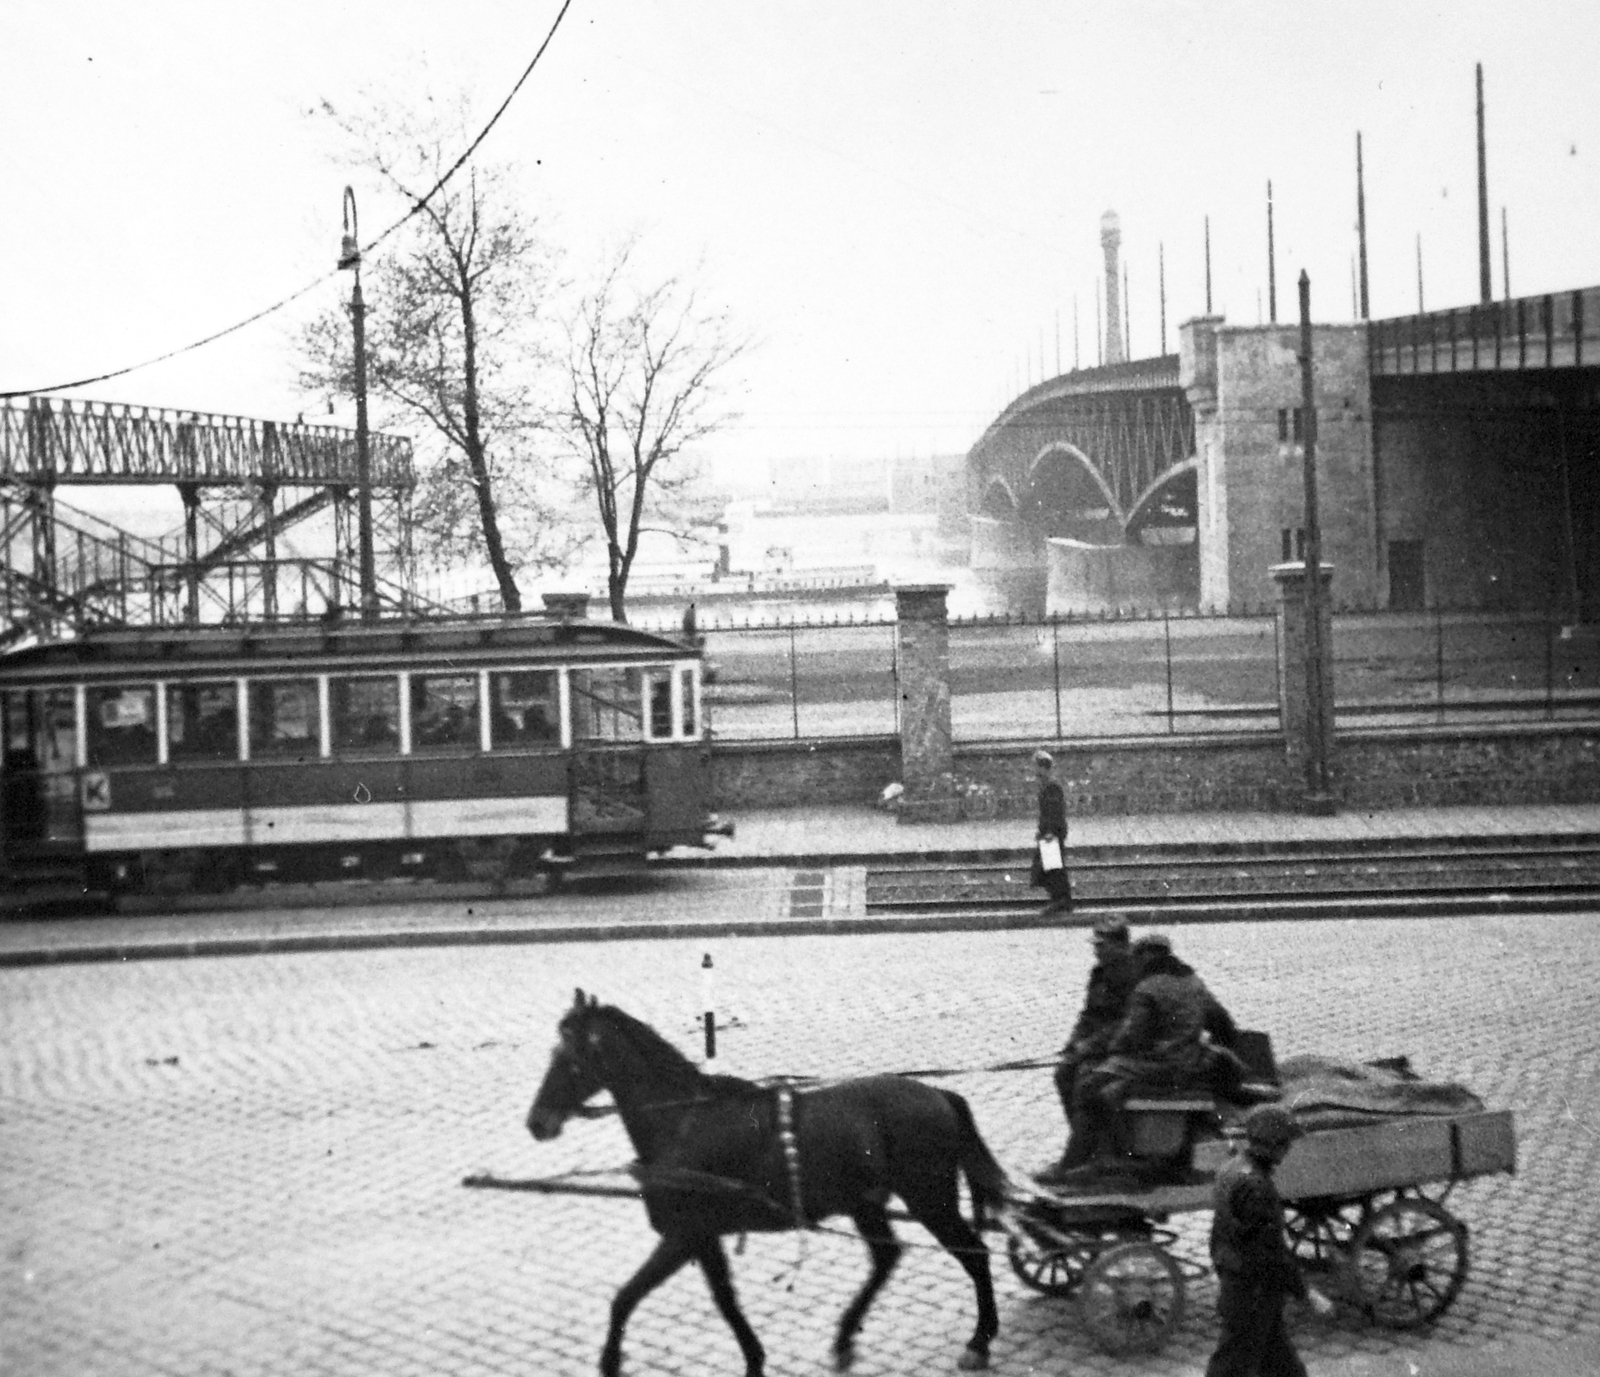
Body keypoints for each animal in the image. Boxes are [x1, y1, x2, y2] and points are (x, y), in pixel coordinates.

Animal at [531, 991, 1017, 1375]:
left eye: (568, 1060)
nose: (536, 1123)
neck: (685, 1122)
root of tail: (940, 1095)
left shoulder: (683, 1237)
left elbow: (626, 1298)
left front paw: (610, 1362)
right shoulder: (703, 1239)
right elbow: (725, 1301)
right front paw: (754, 1359)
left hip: (929, 1200)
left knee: (974, 1255)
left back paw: (979, 1342)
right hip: (868, 1205)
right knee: (886, 1258)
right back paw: (845, 1339)